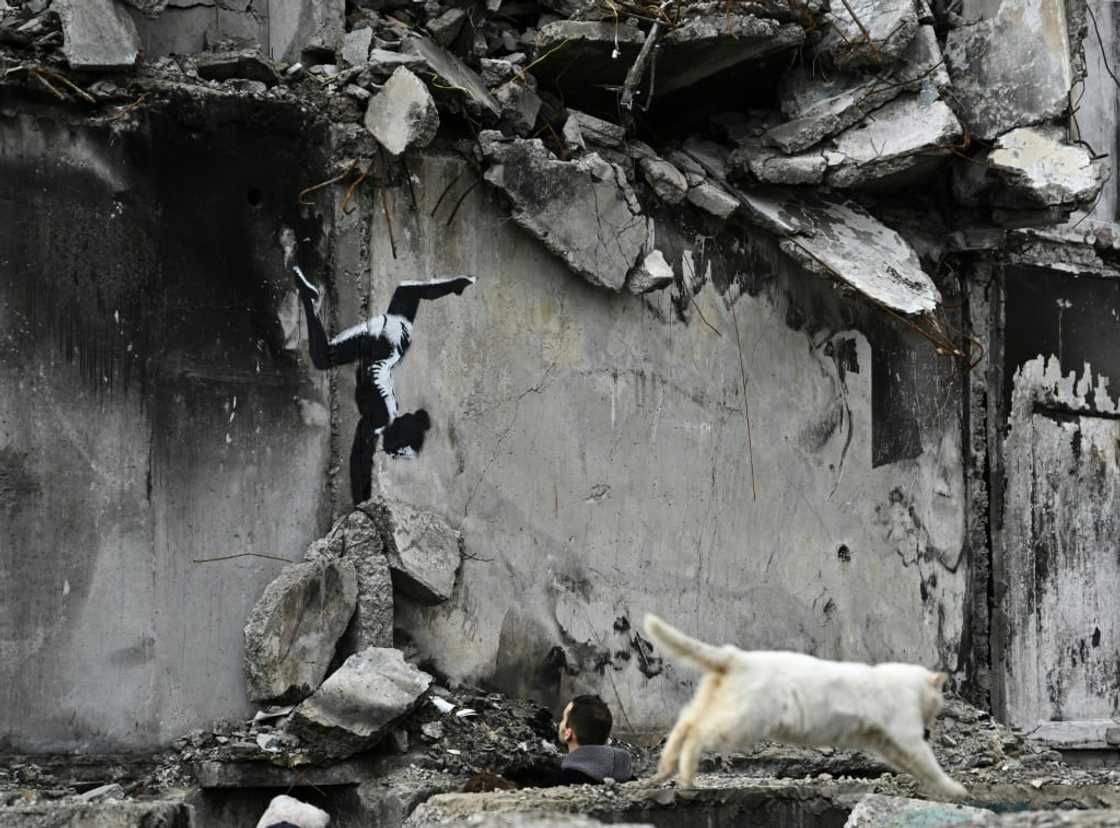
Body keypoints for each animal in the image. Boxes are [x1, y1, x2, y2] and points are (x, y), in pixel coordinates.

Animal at [645, 613, 967, 797]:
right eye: (938, 701)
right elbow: (924, 758)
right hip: (745, 717)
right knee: (698, 731)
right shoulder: (903, 725)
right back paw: (686, 776)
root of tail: (737, 657)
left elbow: (908, 761)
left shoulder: (885, 740)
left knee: (687, 721)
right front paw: (956, 789)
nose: (931, 726)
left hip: (719, 699)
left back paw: (664, 769)